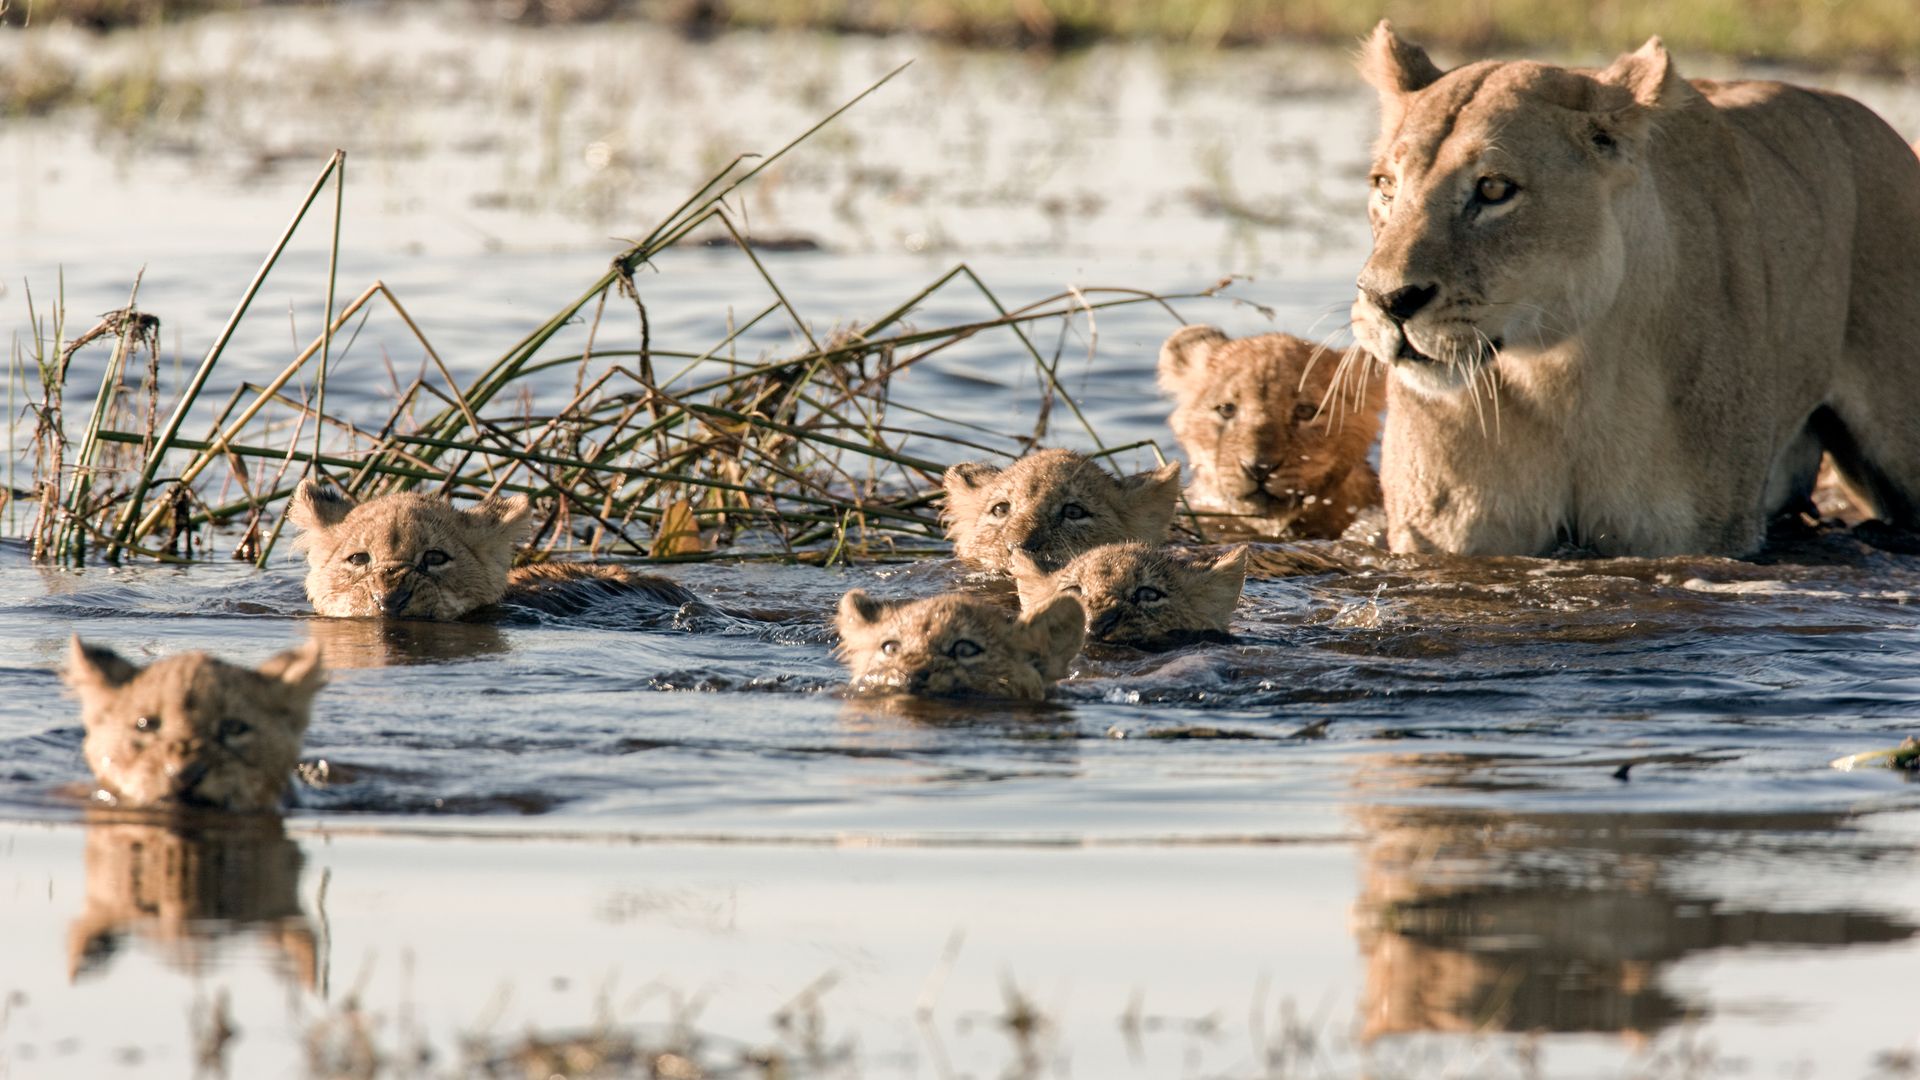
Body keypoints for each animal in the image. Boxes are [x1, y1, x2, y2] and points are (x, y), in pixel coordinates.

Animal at [1351, 22, 1920, 557]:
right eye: (1386, 186)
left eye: (1493, 189)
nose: (1386, 301)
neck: (1559, 379)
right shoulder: (1448, 539)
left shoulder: (1698, 537)